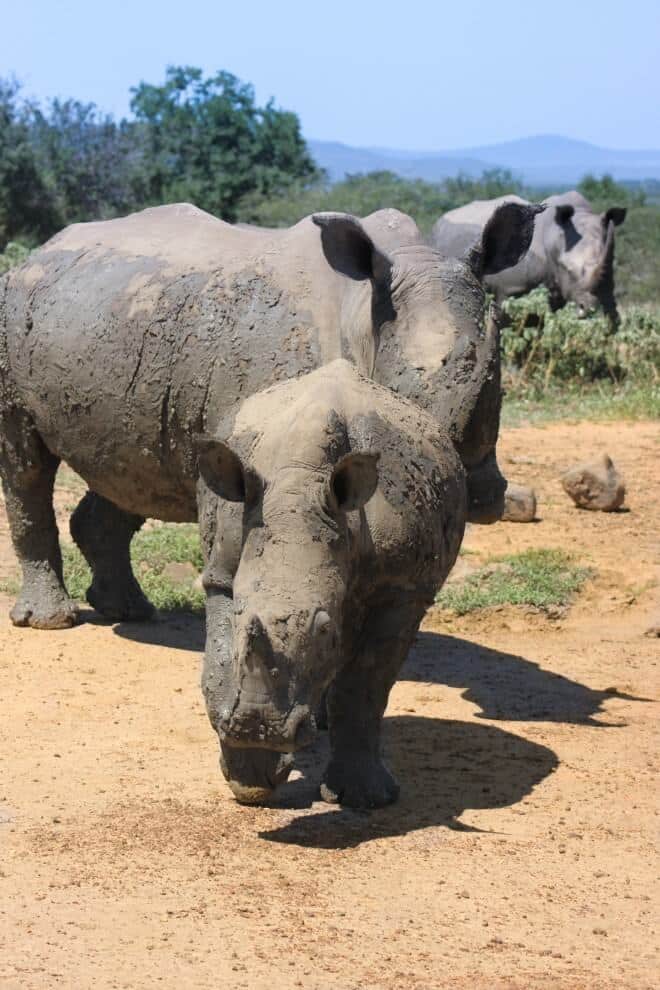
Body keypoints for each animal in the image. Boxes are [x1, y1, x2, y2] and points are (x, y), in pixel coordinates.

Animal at [0, 201, 536, 631]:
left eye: (495, 388)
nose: (483, 501)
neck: (364, 315)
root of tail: (37, 253)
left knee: (132, 464)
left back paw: (130, 612)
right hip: (14, 311)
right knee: (26, 461)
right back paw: (51, 622)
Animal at [198, 359, 466, 806]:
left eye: (325, 630)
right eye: (237, 616)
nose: (258, 727)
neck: (298, 486)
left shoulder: (401, 588)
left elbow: (364, 684)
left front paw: (364, 799)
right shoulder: (222, 568)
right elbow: (219, 667)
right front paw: (250, 781)